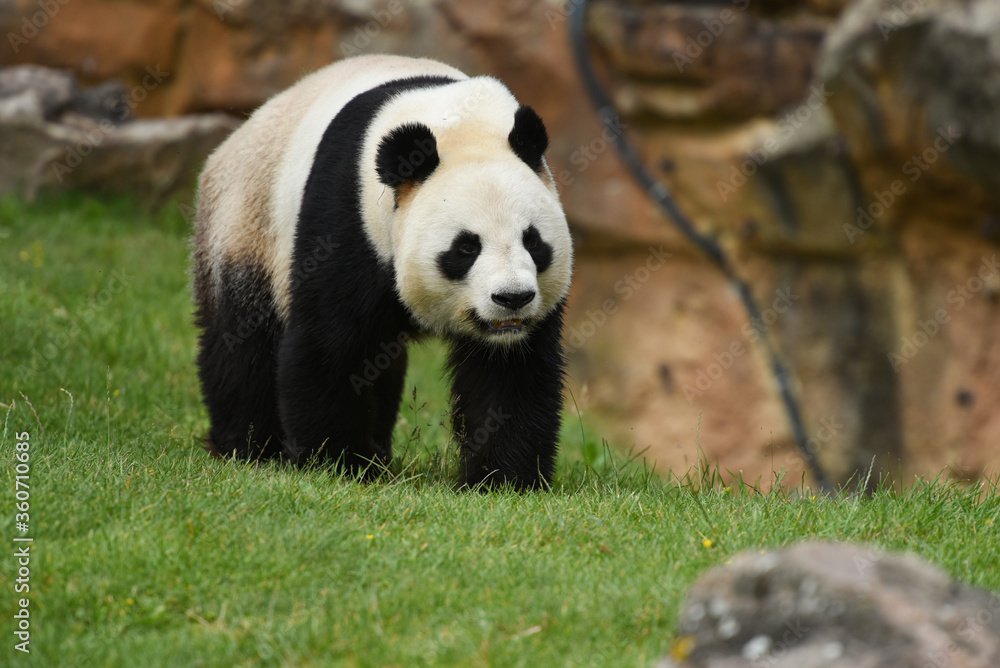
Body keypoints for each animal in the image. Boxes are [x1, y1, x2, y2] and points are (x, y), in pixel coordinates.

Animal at [191, 55, 574, 490]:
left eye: (533, 241)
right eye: (466, 247)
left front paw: (504, 480)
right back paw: (248, 448)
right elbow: (330, 346)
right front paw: (337, 464)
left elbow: (509, 375)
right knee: (242, 343)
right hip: (249, 223)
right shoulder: (347, 220)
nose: (512, 298)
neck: (458, 121)